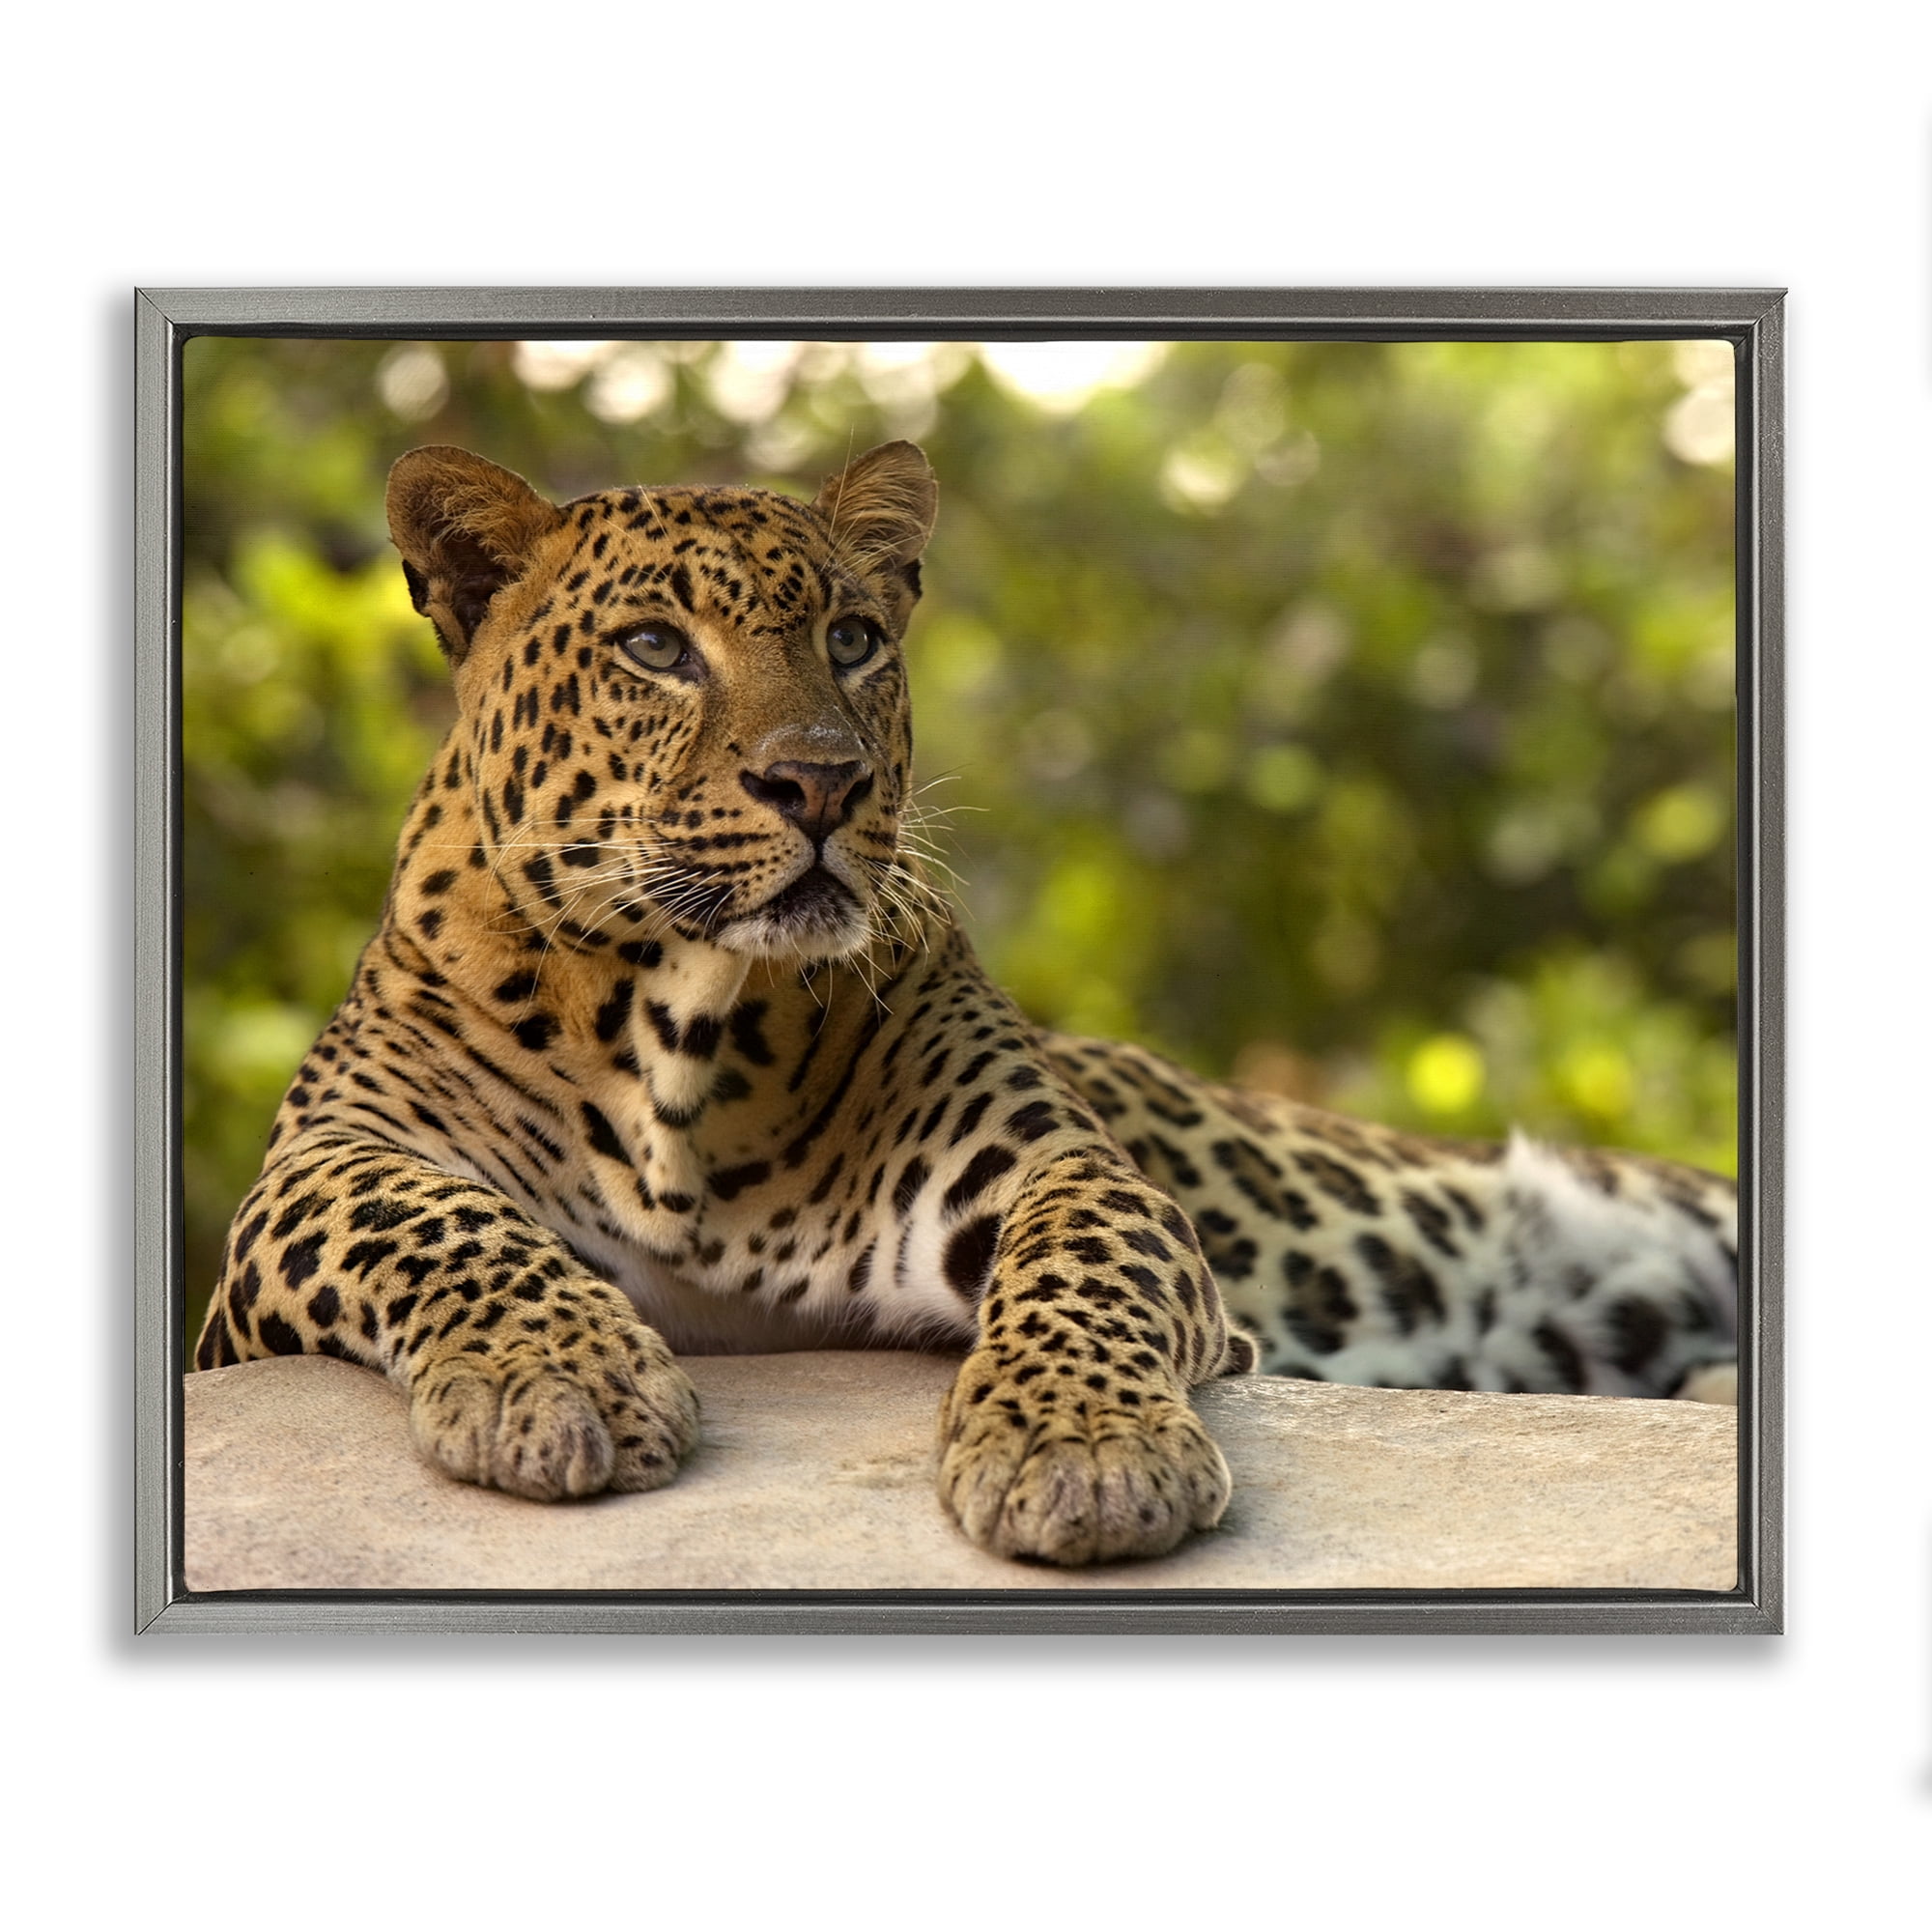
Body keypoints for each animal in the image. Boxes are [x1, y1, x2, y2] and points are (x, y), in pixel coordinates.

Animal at [193, 439, 1739, 1567]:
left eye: (853, 637)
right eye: (654, 647)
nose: (821, 783)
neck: (680, 1025)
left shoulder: (1046, 1164)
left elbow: (1080, 1264)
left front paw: (1082, 1452)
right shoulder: (306, 1183)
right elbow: (431, 1217)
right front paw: (557, 1379)